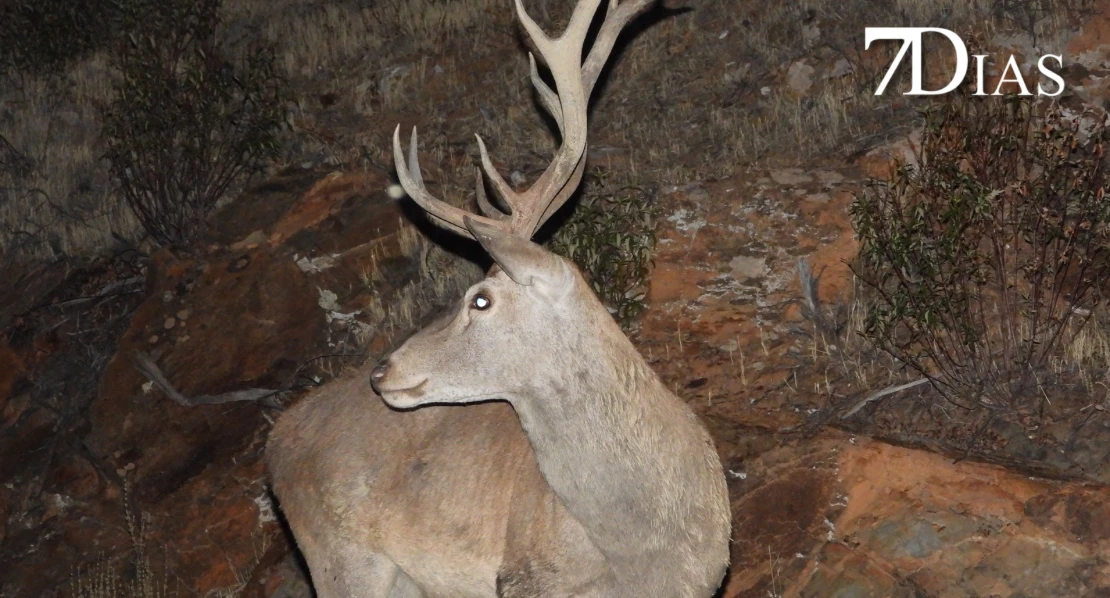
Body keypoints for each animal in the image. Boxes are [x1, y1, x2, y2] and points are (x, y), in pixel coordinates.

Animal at [265, 0, 732, 596]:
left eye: (480, 300)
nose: (382, 372)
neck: (642, 551)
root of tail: (275, 442)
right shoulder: (522, 577)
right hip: (339, 560)